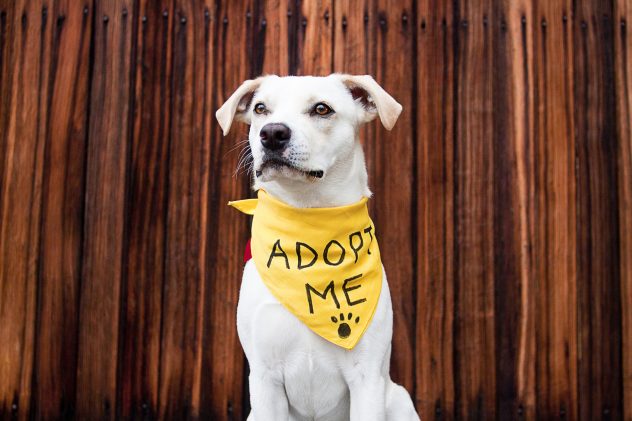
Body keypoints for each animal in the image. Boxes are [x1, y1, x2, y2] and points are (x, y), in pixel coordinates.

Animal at [217, 74, 420, 420]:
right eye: (260, 108)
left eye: (322, 109)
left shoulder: (367, 377)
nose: (271, 133)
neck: (308, 219)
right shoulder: (265, 378)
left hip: (399, 398)